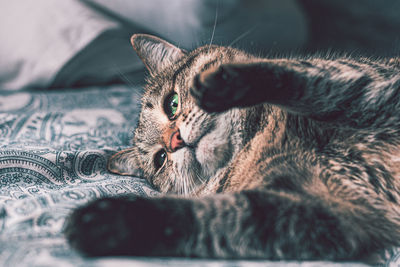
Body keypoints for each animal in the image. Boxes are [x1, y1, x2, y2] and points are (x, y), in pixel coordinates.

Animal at [64, 33, 400, 262]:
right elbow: (212, 217)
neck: (257, 139)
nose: (174, 141)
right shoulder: (325, 215)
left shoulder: (372, 82)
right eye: (160, 159)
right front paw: (111, 221)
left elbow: (306, 80)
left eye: (172, 104)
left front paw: (222, 84)